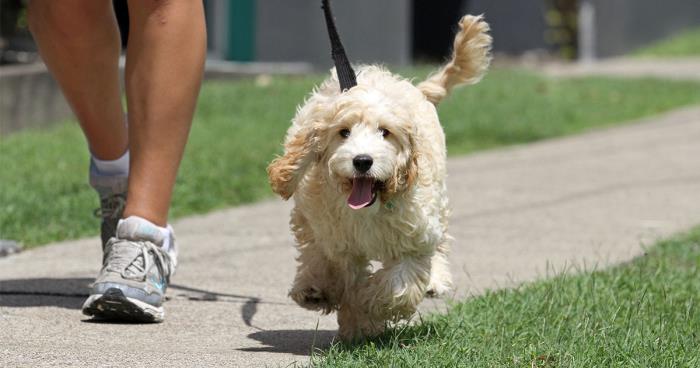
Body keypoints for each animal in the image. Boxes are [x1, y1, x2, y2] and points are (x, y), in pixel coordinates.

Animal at [268, 15, 492, 342]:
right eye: (343, 132)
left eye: (385, 132)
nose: (362, 161)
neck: (370, 209)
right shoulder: (339, 242)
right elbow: (341, 272)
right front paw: (355, 319)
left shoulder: (414, 239)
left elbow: (398, 285)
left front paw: (367, 308)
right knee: (312, 249)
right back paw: (312, 288)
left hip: (437, 201)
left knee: (439, 243)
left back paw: (435, 280)